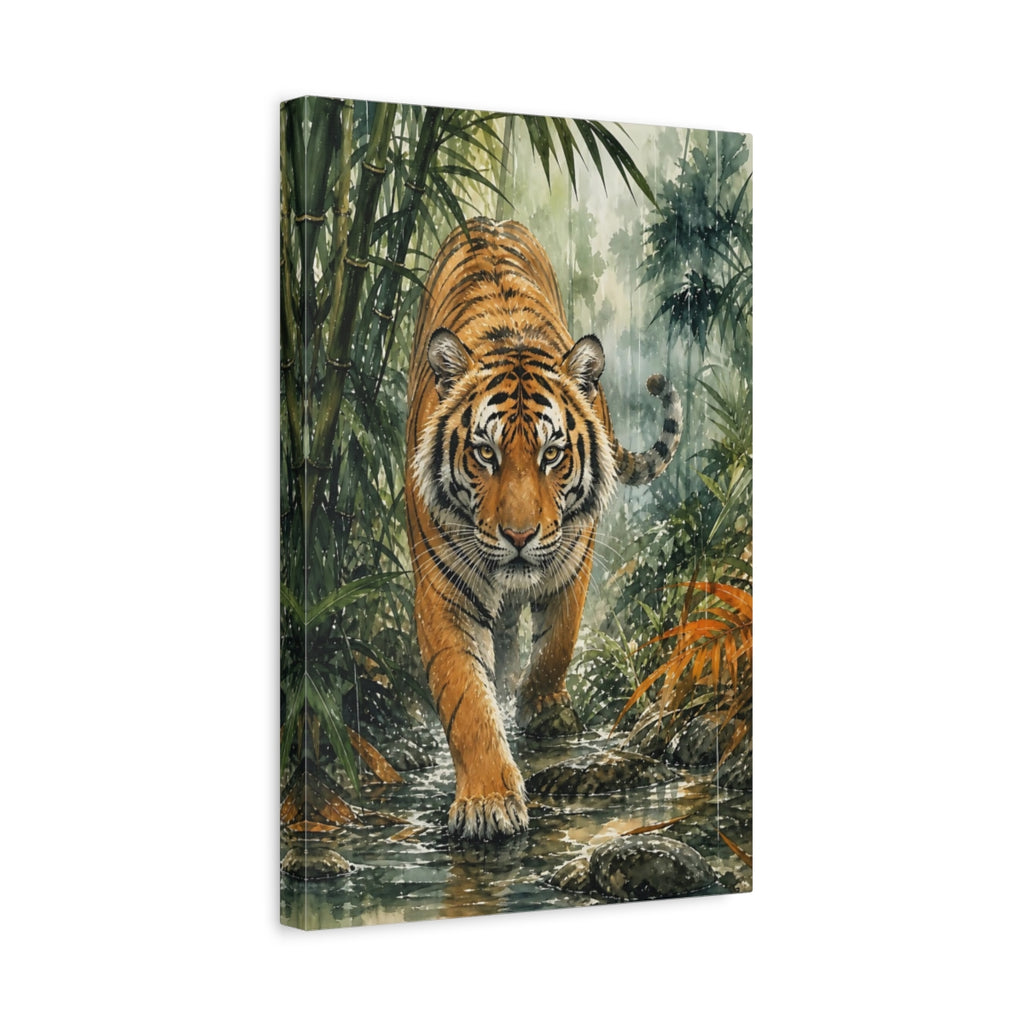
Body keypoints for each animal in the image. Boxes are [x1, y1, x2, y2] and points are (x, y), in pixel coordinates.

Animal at [405, 218, 681, 841]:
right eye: (484, 453)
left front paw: (545, 712)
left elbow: (557, 643)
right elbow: (467, 697)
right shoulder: (442, 590)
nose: (519, 536)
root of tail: (489, 221)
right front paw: (488, 801)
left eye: (552, 454)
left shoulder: (574, 556)